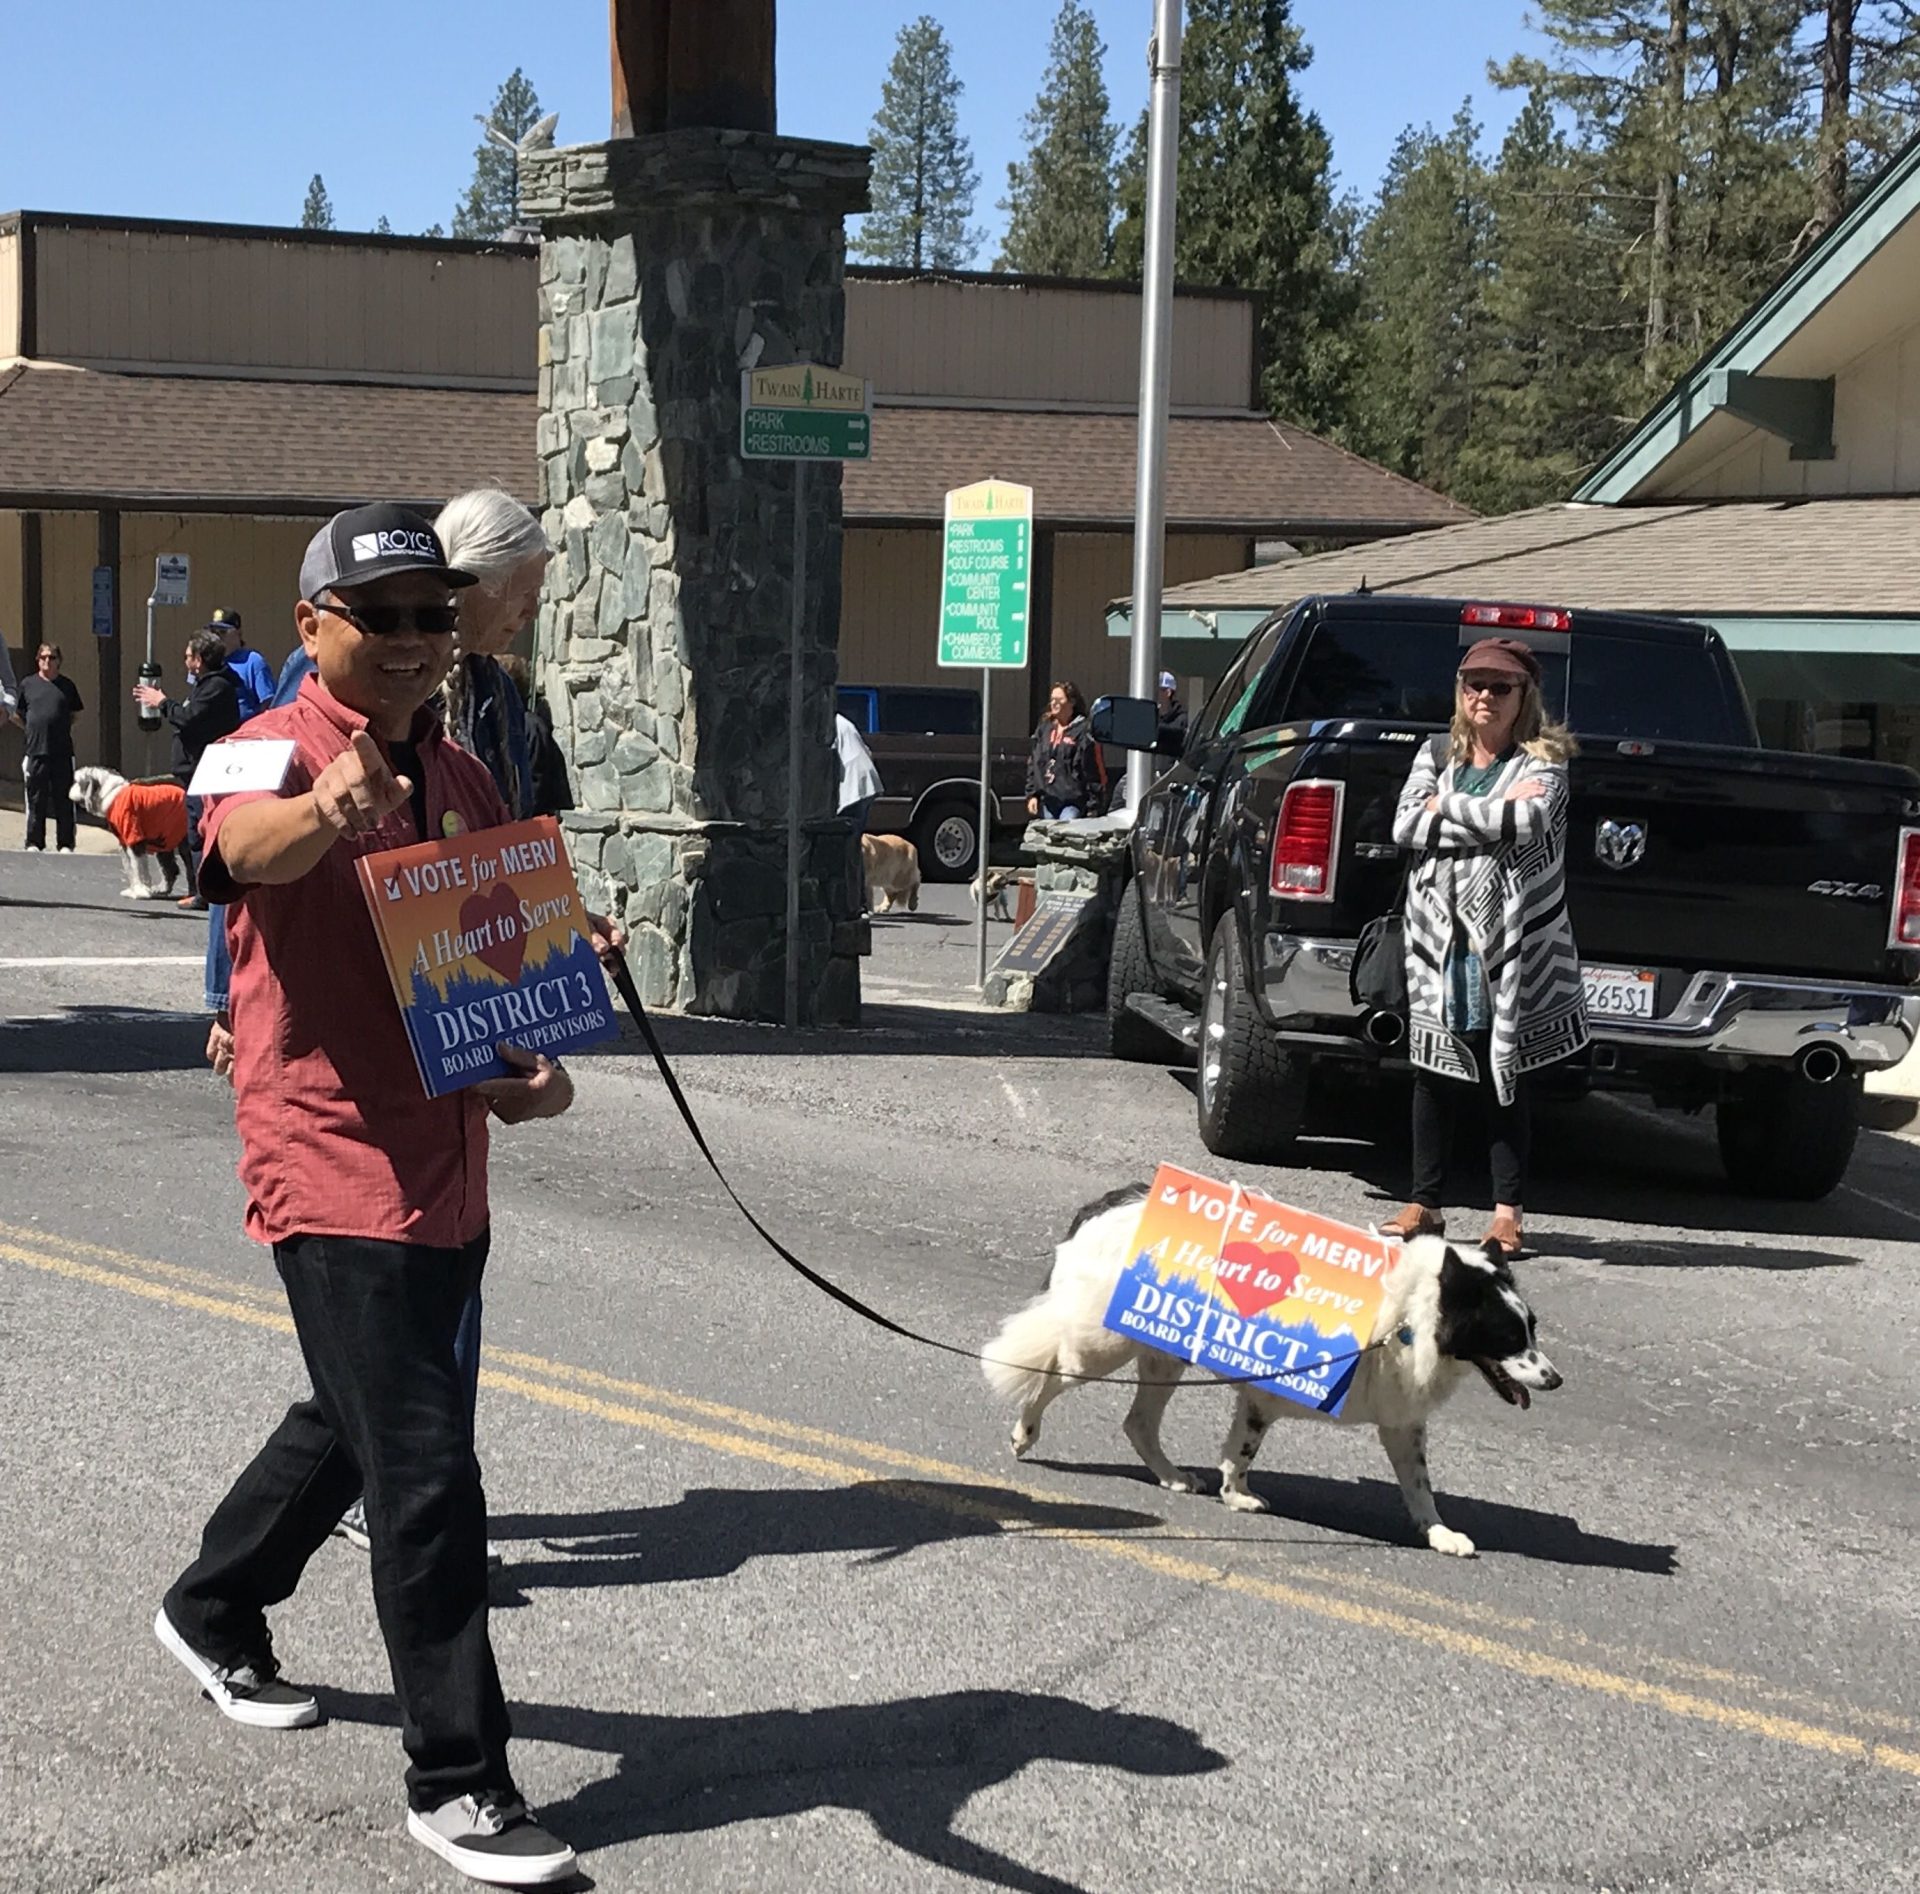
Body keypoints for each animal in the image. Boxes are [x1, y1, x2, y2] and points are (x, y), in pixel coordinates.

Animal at [69, 766, 192, 899]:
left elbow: (137, 867)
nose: (69, 790)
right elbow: (131, 868)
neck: (111, 794)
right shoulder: (125, 841)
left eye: (77, 782)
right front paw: (137, 889)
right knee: (170, 868)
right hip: (164, 840)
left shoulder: (134, 839)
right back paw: (163, 889)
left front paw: (140, 891)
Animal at [983, 1183, 1561, 1557]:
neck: (1411, 1315)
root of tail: (1108, 1203)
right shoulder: (1263, 1395)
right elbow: (1242, 1452)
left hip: (1162, 1354)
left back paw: (1171, 1477)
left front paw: (1439, 1534)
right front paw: (1237, 1496)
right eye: (1509, 1337)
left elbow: (1420, 1487)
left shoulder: (1401, 1423)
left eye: (1532, 1328)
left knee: (1138, 1423)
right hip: (1105, 1345)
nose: (1555, 1380)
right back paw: (1023, 1434)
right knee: (1049, 1374)